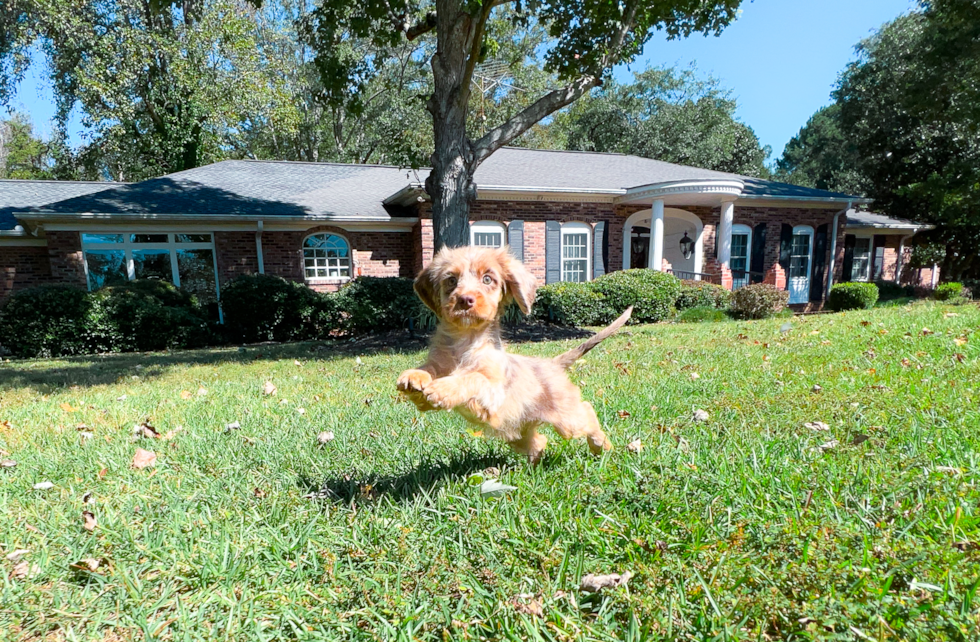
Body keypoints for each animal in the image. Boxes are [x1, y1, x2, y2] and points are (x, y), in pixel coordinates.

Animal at [398, 244, 636, 460]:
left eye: (487, 279)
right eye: (451, 280)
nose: (465, 300)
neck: (465, 341)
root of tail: (551, 364)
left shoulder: (494, 393)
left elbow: (473, 377)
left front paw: (444, 389)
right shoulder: (440, 363)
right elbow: (429, 368)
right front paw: (413, 377)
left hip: (567, 421)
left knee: (586, 412)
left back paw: (601, 446)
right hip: (516, 432)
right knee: (539, 442)